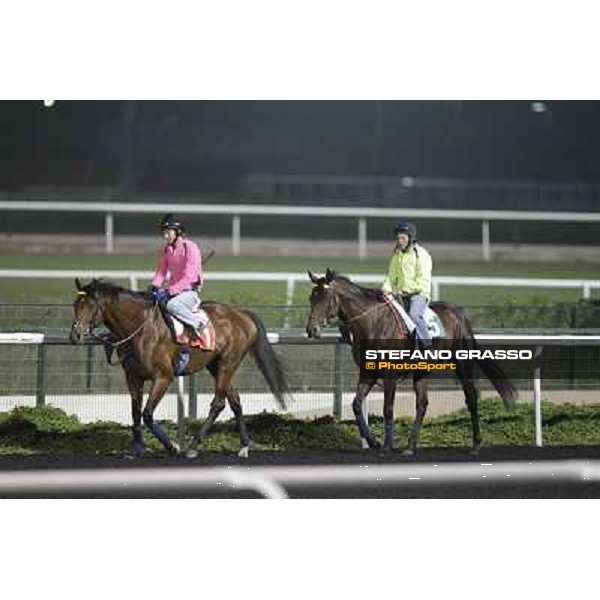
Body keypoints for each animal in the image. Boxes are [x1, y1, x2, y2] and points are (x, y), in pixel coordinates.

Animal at [70, 278, 290, 458]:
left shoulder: (163, 377)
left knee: (218, 403)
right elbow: (135, 412)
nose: (76, 335)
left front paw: (172, 446)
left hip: (229, 362)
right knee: (234, 400)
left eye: (90, 305)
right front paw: (138, 448)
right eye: (75, 304)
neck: (141, 327)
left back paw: (193, 446)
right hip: (215, 365)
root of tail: (242, 314)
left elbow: (147, 413)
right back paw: (244, 445)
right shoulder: (133, 376)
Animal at [308, 268, 516, 454]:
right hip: (422, 371)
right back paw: (409, 446)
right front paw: (373, 441)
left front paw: (387, 446)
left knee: (471, 397)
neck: (373, 323)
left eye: (325, 298)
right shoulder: (367, 372)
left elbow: (388, 408)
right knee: (422, 404)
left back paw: (476, 444)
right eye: (311, 298)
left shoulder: (389, 373)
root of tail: (459, 314)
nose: (311, 330)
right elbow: (357, 404)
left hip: (462, 364)